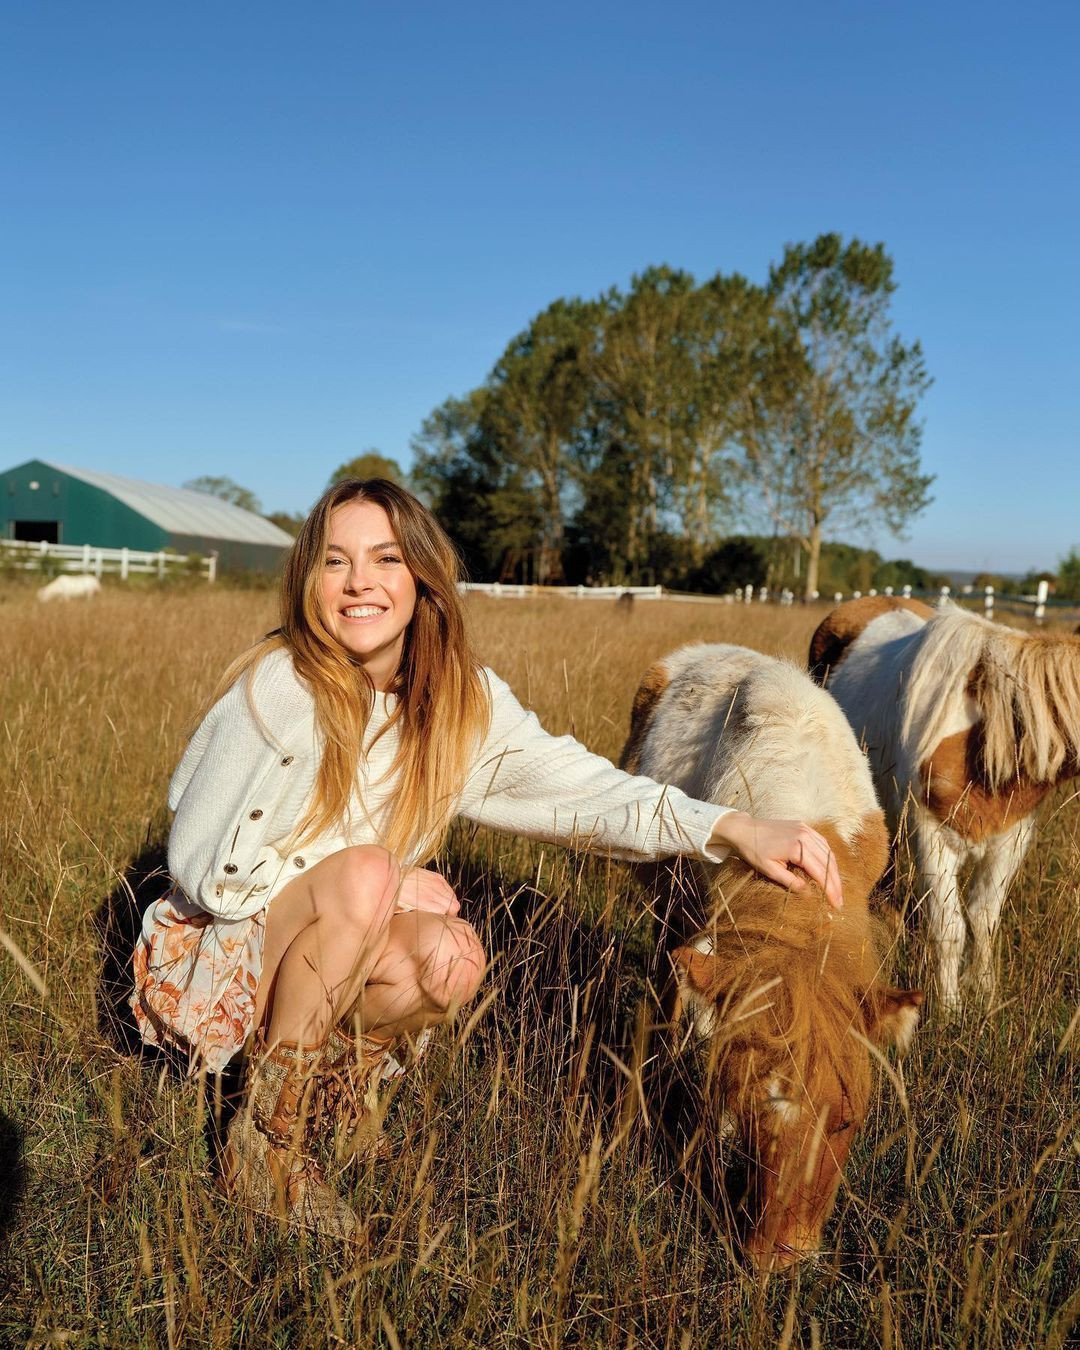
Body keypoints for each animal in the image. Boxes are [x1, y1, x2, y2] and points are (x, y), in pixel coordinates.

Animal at [810, 596, 1080, 1009]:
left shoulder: (1010, 840)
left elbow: (984, 918)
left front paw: (984, 993)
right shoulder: (931, 838)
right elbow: (949, 926)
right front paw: (949, 1006)